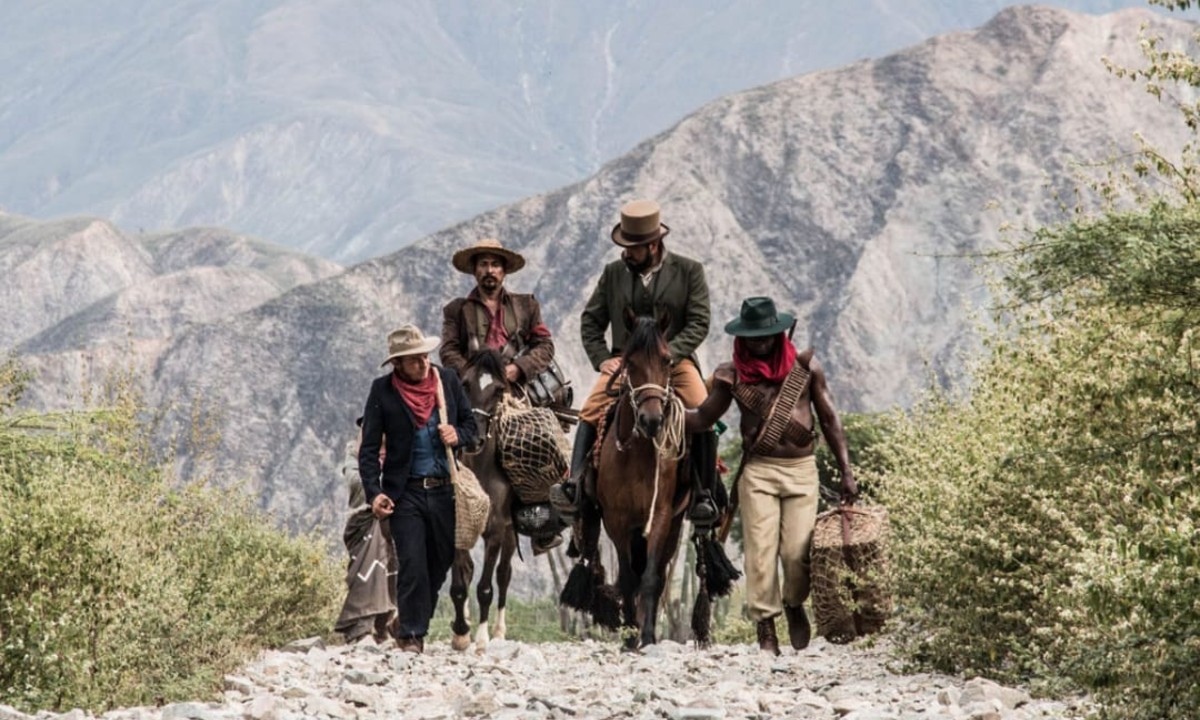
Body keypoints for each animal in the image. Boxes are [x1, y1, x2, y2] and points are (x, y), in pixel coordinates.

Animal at [566, 312, 691, 648]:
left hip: (673, 527)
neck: (637, 453)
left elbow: (649, 578)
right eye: (628, 362)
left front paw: (646, 636)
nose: (652, 420)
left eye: (667, 360)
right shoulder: (617, 521)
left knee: (658, 575)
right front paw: (631, 634)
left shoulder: (660, 516)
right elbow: (627, 579)